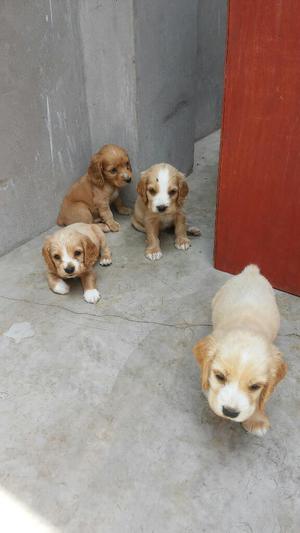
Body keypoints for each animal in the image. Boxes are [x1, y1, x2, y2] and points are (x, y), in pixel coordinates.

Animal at [193, 264, 288, 434]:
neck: (246, 325)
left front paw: (257, 420)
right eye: (220, 376)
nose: (229, 412)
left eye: (255, 386)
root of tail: (251, 271)